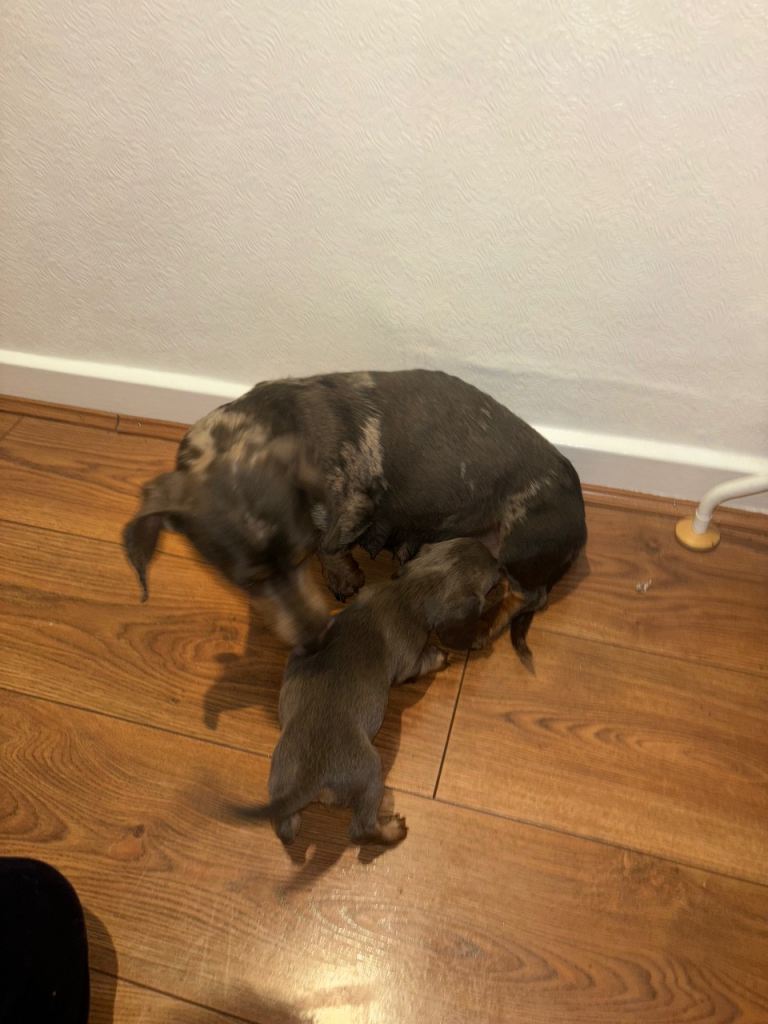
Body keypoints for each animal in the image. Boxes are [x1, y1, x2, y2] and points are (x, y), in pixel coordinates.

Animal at [123, 370, 586, 657]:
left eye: (299, 557)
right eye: (246, 582)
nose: (317, 640)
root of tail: (581, 523)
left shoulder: (353, 507)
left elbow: (332, 546)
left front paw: (343, 576)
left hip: (518, 549)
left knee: (526, 596)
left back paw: (485, 627)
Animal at [225, 538, 505, 844]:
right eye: (494, 576)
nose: (506, 570)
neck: (408, 591)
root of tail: (312, 777)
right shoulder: (409, 661)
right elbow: (421, 663)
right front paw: (442, 656)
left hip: (278, 776)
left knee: (285, 828)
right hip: (371, 772)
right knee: (361, 829)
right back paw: (392, 829)